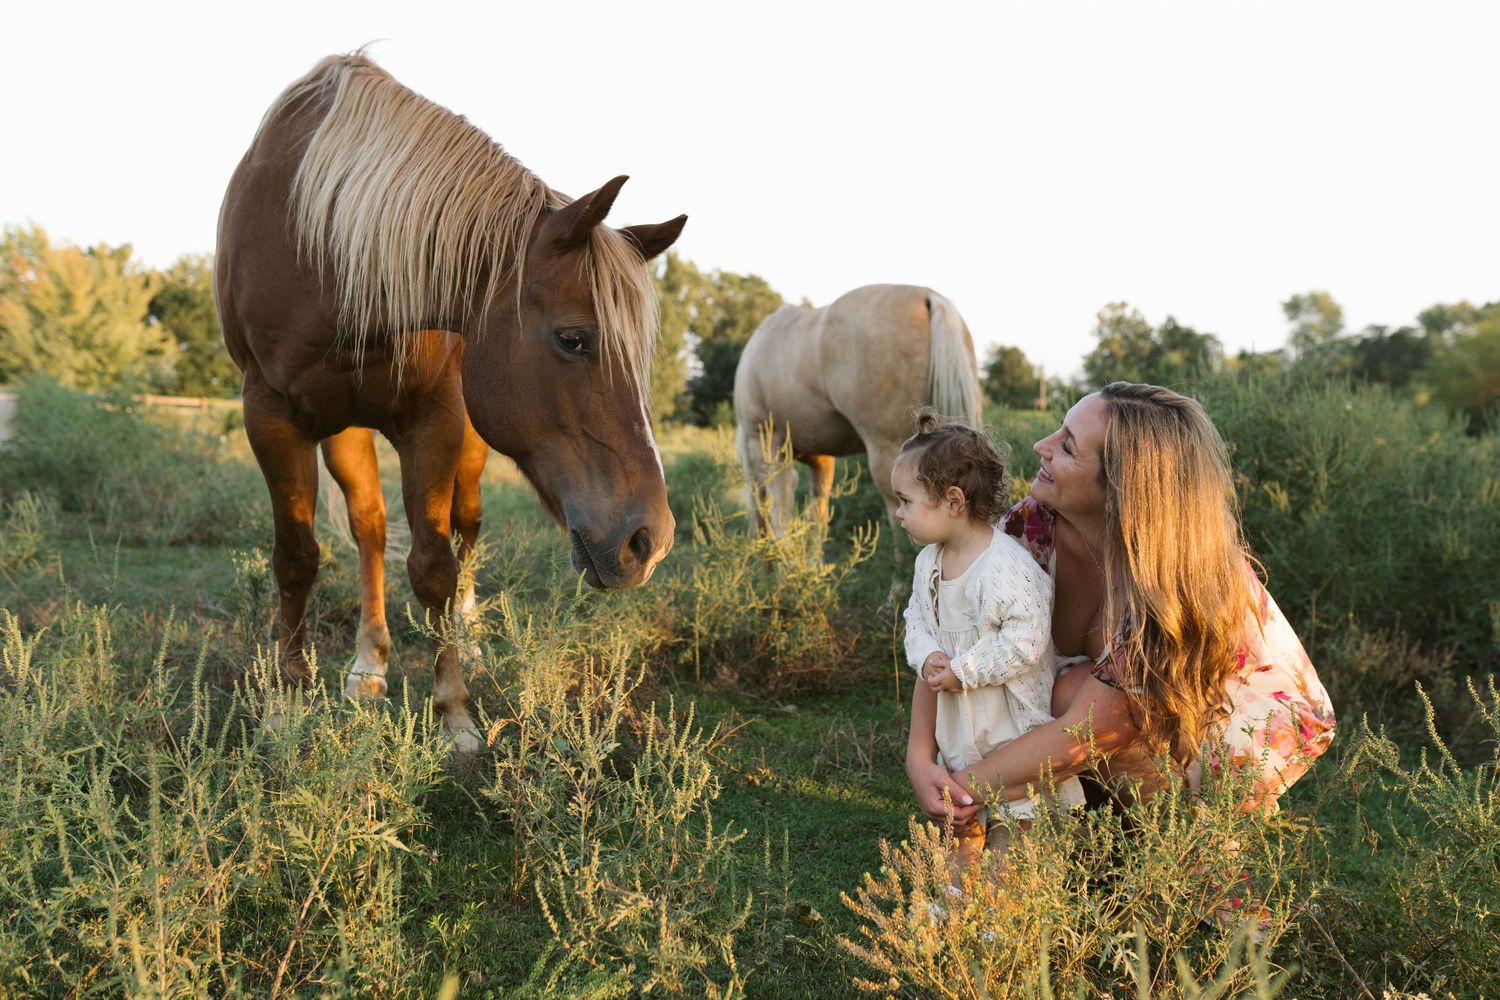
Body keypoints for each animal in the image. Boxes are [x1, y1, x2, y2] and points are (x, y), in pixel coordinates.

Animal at [215, 53, 686, 746]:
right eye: (574, 339)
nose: (648, 541)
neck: (326, 247)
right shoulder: (270, 413)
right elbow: (297, 557)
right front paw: (286, 704)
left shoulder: (436, 416)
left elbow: (436, 565)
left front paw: (455, 717)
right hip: (344, 428)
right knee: (370, 527)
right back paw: (368, 664)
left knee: (465, 529)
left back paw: (471, 641)